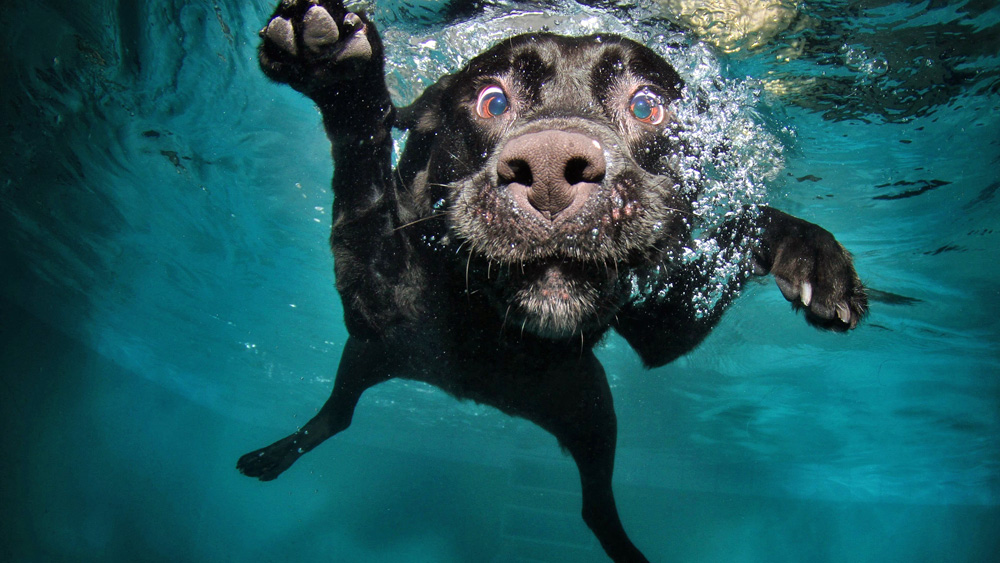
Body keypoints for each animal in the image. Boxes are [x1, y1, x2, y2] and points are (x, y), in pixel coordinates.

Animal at [240, 2, 868, 560]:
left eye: (646, 106)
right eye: (492, 101)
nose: (547, 169)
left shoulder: (664, 325)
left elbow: (744, 224)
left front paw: (811, 253)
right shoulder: (377, 303)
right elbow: (363, 187)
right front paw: (339, 72)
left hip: (591, 413)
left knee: (594, 508)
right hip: (370, 356)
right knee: (339, 414)